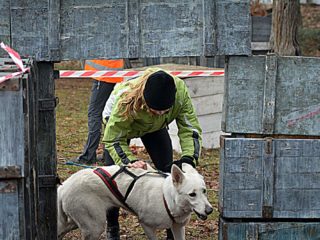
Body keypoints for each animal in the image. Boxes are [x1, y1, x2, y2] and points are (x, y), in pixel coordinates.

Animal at [58, 163, 212, 240]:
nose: (210, 210)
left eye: (204, 191)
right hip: (94, 226)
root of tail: (64, 185)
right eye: (192, 194)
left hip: (78, 222)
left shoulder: (178, 227)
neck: (168, 200)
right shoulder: (146, 225)